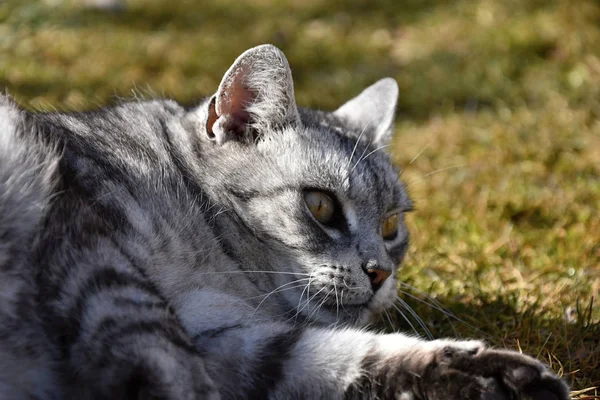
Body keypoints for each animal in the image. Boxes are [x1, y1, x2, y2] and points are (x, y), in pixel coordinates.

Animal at [0, 45, 568, 398]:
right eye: (321, 207)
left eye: (391, 226)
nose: (380, 272)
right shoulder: (89, 246)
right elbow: (161, 355)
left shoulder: (229, 339)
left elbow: (336, 356)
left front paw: (493, 376)